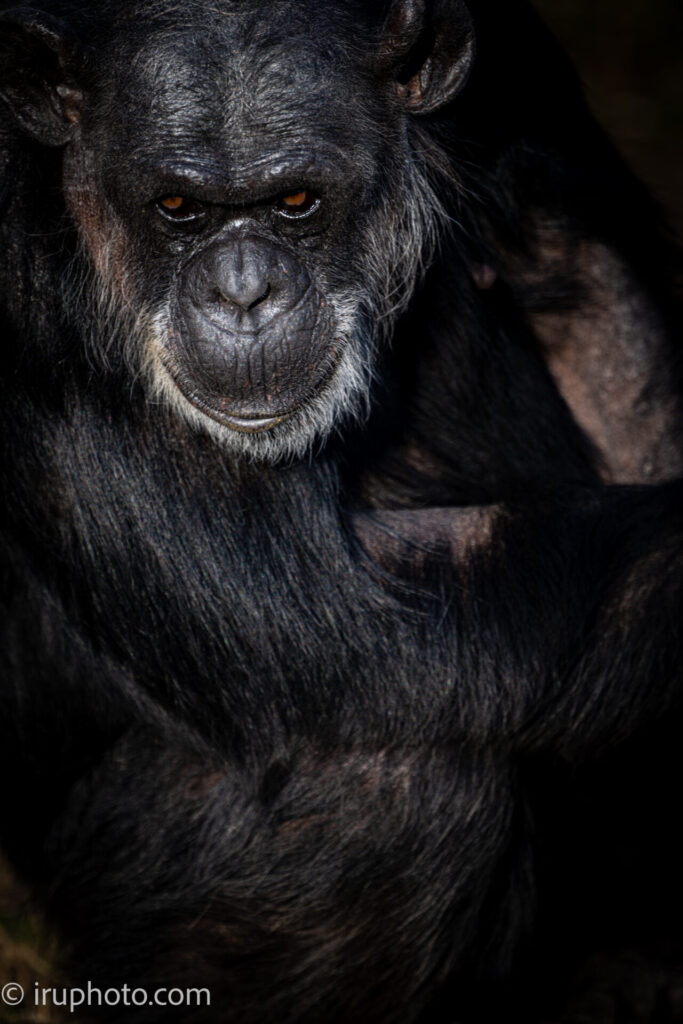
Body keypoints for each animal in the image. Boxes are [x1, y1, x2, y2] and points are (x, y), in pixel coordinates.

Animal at [0, 2, 679, 1024]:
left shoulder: (519, 72)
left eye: (294, 202)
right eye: (176, 209)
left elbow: (600, 306)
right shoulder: (30, 300)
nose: (243, 291)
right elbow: (344, 620)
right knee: (390, 784)